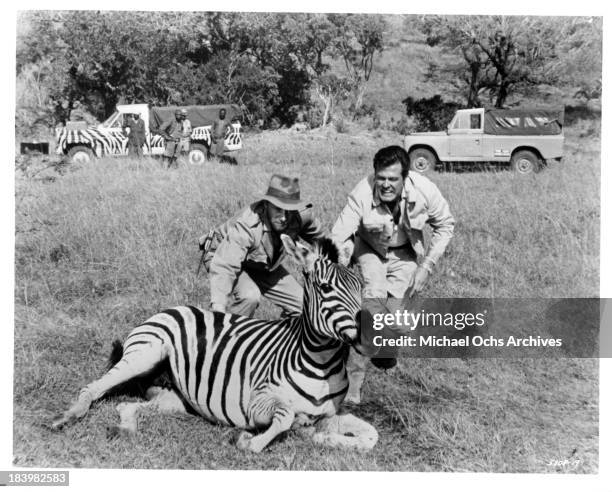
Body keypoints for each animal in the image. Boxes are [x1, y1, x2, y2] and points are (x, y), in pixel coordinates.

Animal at [51, 234, 378, 454]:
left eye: (360, 287)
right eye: (325, 288)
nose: (369, 334)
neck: (322, 363)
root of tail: (173, 308)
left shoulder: (328, 415)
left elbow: (370, 435)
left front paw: (325, 439)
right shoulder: (256, 400)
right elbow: (284, 417)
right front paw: (247, 440)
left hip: (173, 400)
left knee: (127, 406)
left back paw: (125, 428)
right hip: (144, 354)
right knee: (93, 387)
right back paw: (66, 417)